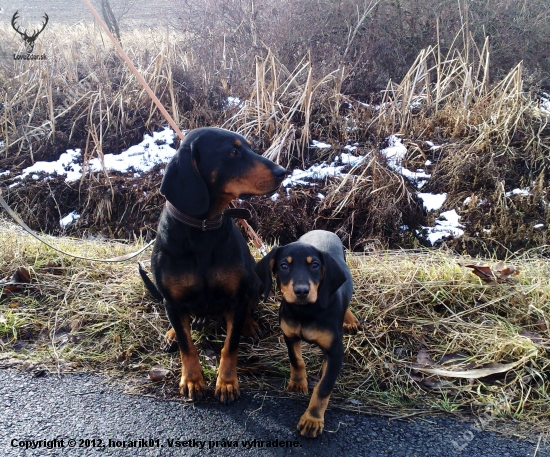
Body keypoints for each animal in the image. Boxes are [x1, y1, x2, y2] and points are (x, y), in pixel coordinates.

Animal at [140, 127, 286, 402]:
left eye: (249, 147)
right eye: (232, 152)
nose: (282, 172)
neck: (203, 228)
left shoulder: (236, 298)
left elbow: (230, 346)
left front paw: (227, 382)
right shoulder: (172, 300)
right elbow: (187, 346)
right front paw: (192, 380)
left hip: (253, 282)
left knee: (247, 310)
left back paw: (249, 325)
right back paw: (173, 333)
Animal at [254, 230, 358, 436]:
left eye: (315, 265)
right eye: (284, 266)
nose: (301, 291)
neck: (306, 311)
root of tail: (323, 230)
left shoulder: (335, 353)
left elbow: (323, 388)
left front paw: (312, 419)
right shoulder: (289, 336)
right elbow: (296, 360)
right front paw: (298, 382)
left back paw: (349, 320)